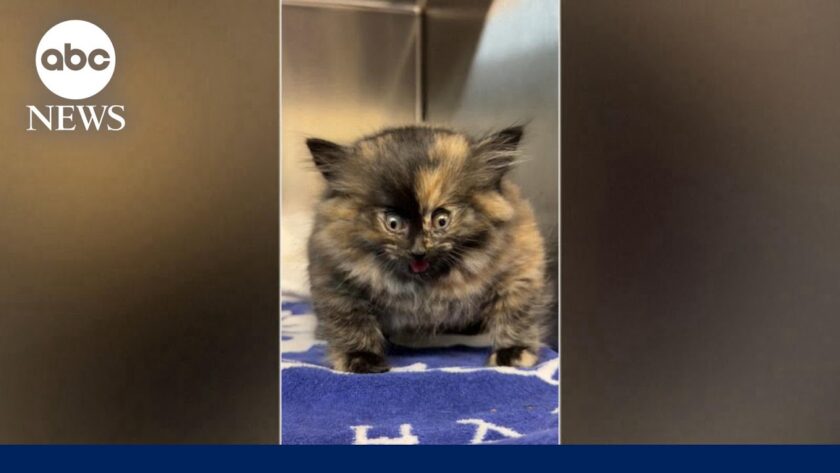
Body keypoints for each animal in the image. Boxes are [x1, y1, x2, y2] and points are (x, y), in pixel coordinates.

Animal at [305, 125, 550, 373]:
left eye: (441, 220)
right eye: (393, 223)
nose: (418, 250)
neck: (425, 289)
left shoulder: (520, 269)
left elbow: (515, 313)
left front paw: (513, 352)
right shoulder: (334, 280)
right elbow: (351, 321)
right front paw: (360, 358)